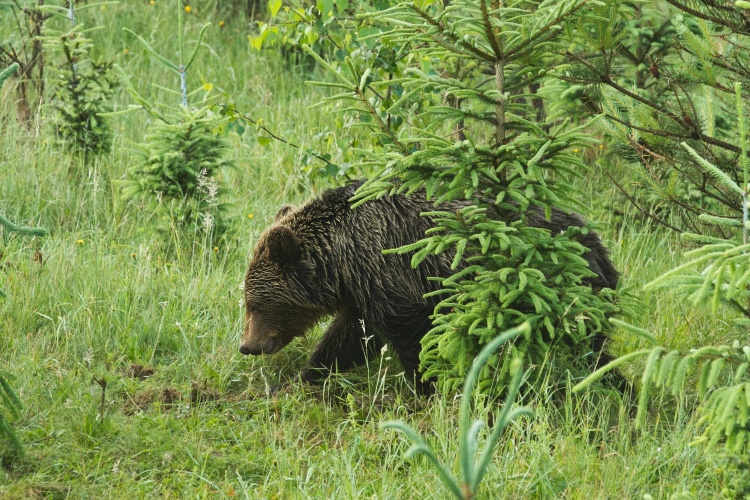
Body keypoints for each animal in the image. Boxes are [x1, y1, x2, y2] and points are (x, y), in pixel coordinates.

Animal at [241, 181, 616, 390]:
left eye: (254, 303)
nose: (247, 346)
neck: (341, 259)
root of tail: (593, 239)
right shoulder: (364, 291)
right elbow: (349, 339)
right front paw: (299, 379)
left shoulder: (390, 271)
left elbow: (409, 333)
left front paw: (425, 385)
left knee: (583, 343)